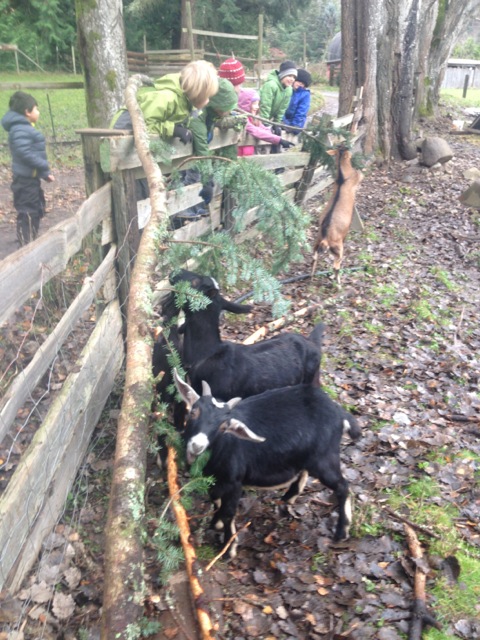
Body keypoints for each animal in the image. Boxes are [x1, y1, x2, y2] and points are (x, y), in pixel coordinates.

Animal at [172, 368, 360, 556]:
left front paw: (229, 548)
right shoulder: (214, 480)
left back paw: (342, 532)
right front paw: (215, 523)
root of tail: (339, 413)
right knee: (304, 472)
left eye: (224, 427)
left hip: (324, 457)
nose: (197, 445)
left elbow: (228, 512)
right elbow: (216, 501)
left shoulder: (234, 482)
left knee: (342, 486)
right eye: (193, 412)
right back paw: (289, 498)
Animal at [312, 146, 364, 286]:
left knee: (314, 257)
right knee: (336, 265)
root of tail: (325, 239)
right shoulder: (356, 177)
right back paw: (339, 284)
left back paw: (311, 277)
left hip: (317, 242)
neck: (342, 178)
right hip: (338, 248)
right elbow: (361, 175)